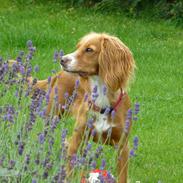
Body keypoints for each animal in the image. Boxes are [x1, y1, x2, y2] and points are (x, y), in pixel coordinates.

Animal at [22, 32, 135, 182]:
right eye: (78, 47)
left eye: (89, 49)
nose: (62, 60)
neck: (102, 101)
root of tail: (59, 74)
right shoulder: (78, 140)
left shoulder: (123, 147)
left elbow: (122, 176)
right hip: (52, 115)